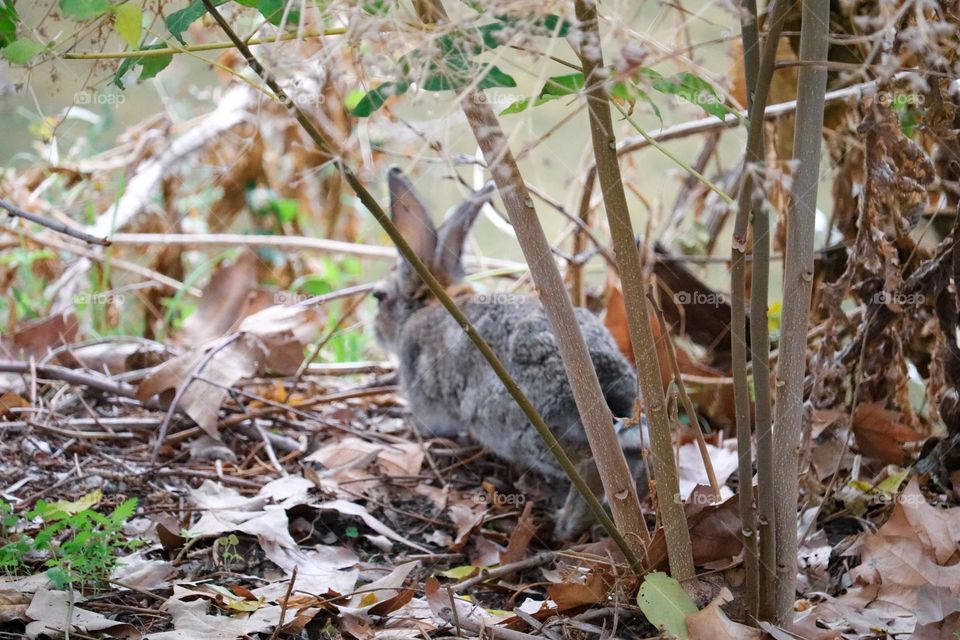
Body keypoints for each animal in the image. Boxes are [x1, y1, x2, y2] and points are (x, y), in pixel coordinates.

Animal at [373, 167, 648, 541]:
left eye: (379, 296)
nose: (375, 331)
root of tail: (606, 371)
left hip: (526, 428)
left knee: (589, 464)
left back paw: (567, 526)